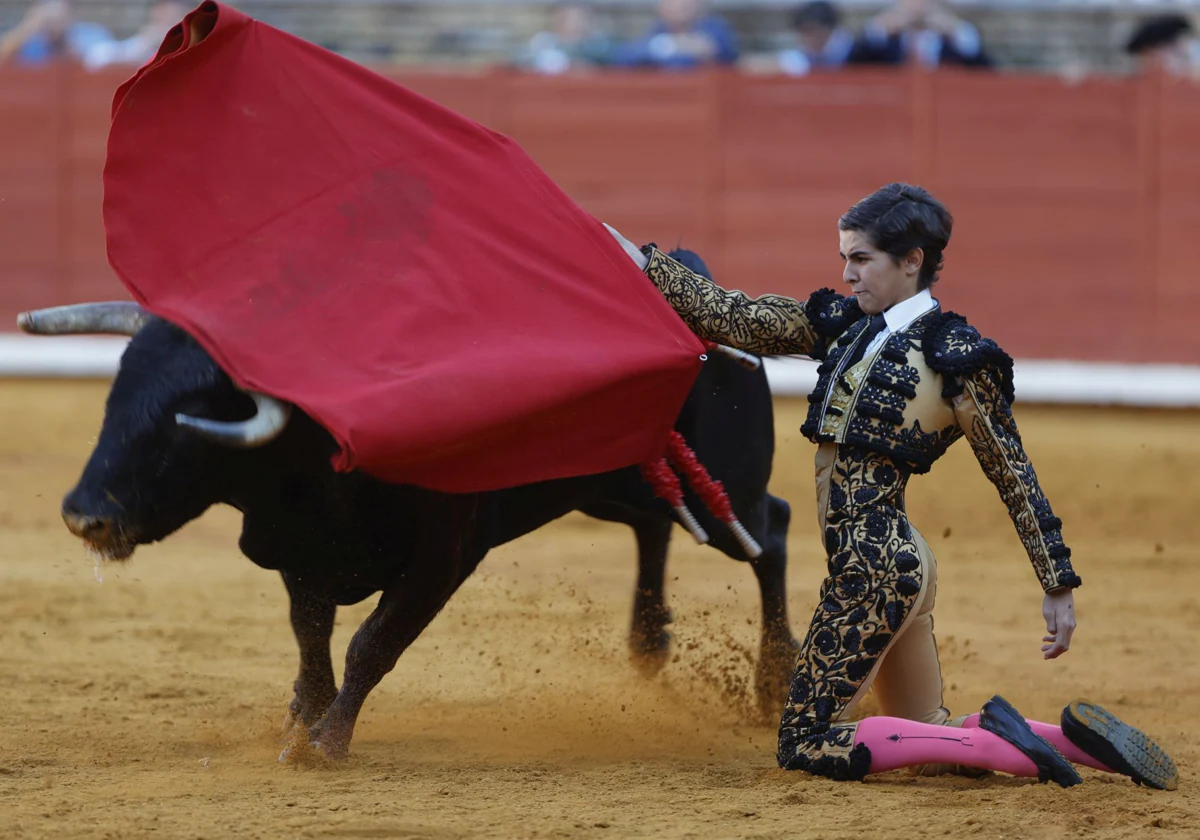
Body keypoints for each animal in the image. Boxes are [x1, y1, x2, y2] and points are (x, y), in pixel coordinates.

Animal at [18, 249, 801, 763]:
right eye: (118, 394)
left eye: (188, 419)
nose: (83, 515)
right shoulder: (299, 550)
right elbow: (311, 641)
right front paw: (299, 723)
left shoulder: (440, 561)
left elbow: (371, 643)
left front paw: (326, 744)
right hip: (611, 486)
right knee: (654, 523)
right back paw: (650, 644)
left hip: (727, 488)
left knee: (772, 532)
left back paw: (774, 682)